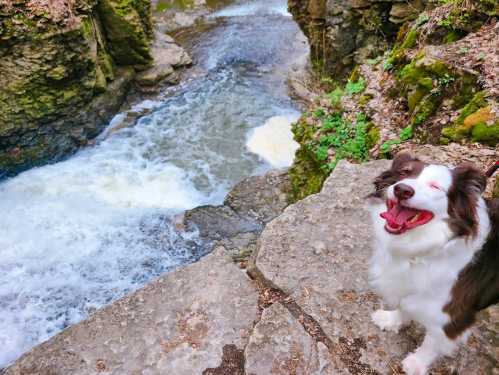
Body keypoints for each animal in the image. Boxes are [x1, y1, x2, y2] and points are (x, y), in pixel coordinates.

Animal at [368, 153, 499, 375]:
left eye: (435, 186)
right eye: (404, 172)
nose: (402, 190)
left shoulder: (453, 314)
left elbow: (433, 342)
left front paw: (416, 363)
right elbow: (404, 304)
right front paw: (392, 320)